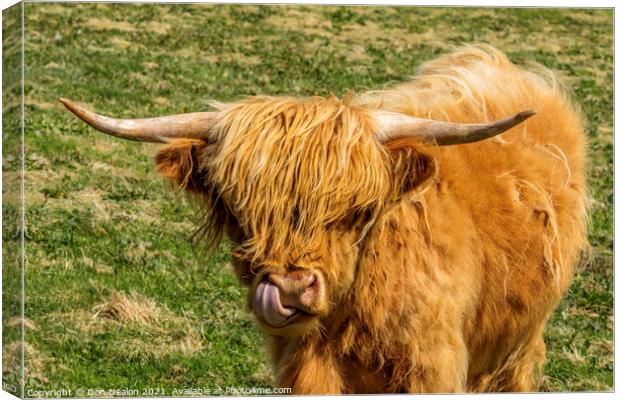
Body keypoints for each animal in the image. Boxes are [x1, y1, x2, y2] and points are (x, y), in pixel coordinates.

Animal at [61, 45, 588, 392]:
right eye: (238, 210)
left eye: (359, 212)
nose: (291, 290)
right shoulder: (304, 365)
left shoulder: (434, 363)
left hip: (519, 341)